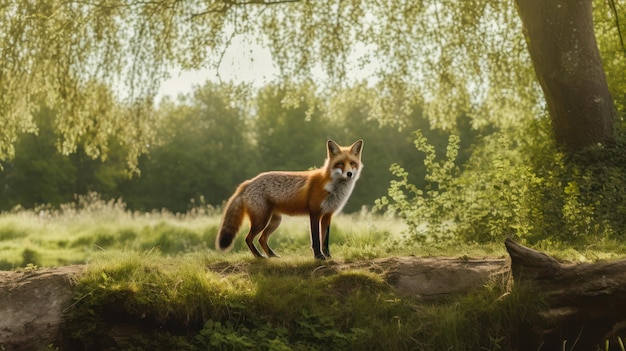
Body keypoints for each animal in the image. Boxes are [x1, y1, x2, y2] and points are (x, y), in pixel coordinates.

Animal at [214, 140, 360, 262]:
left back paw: (272, 255)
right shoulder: (315, 214)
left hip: (275, 221)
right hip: (261, 220)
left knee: (262, 239)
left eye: (352, 163)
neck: (332, 188)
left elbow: (325, 241)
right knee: (248, 238)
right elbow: (316, 240)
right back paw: (259, 256)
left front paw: (328, 256)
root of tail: (248, 182)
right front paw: (318, 257)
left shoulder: (327, 215)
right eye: (340, 163)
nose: (349, 174)